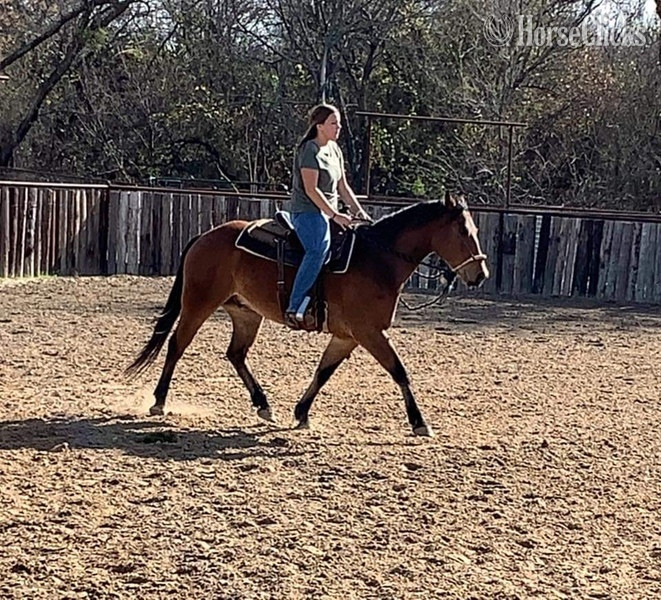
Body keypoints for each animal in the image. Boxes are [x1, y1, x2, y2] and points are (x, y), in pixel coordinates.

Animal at [126, 192, 489, 436]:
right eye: (462, 231)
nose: (480, 274)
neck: (377, 259)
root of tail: (206, 235)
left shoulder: (346, 336)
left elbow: (323, 372)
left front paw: (301, 413)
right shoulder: (368, 332)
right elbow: (400, 372)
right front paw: (419, 422)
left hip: (246, 313)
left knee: (236, 354)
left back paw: (263, 404)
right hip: (198, 304)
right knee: (177, 345)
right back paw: (159, 400)